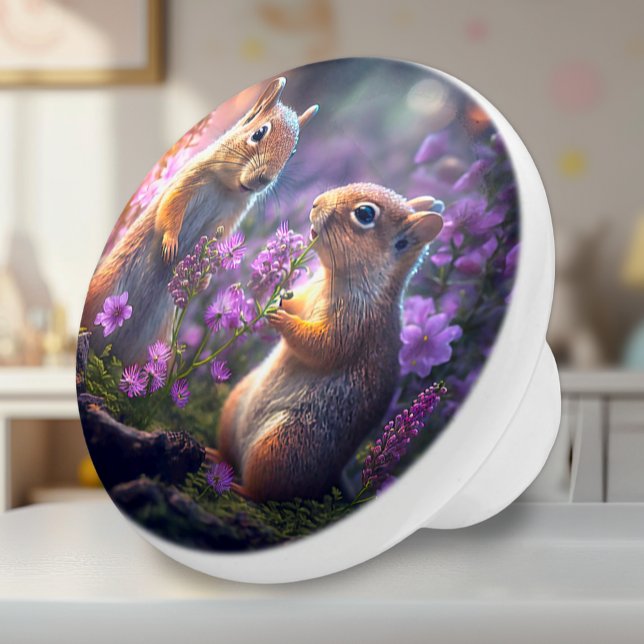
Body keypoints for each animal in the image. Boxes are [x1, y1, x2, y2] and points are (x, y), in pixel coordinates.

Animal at [82, 77, 318, 361]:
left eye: (292, 153)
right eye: (259, 133)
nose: (264, 180)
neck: (227, 188)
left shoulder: (230, 216)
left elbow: (219, 239)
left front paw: (205, 279)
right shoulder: (189, 180)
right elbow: (170, 207)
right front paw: (171, 243)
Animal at [217, 183, 444, 501]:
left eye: (365, 214)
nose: (315, 203)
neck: (331, 280)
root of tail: (332, 475)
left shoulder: (356, 327)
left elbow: (322, 347)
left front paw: (282, 320)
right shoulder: (306, 294)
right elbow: (295, 303)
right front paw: (270, 299)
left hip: (285, 446)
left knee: (267, 490)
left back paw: (239, 488)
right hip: (233, 407)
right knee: (229, 456)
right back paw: (215, 456)